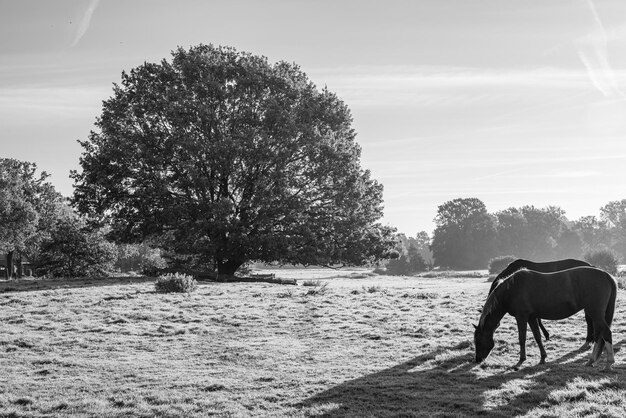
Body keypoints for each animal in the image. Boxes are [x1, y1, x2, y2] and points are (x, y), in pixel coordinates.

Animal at [472, 266, 616, 370]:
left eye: (477, 340)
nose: (478, 359)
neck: (511, 290)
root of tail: (606, 275)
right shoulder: (531, 317)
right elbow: (537, 337)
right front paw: (543, 358)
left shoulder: (521, 317)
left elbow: (522, 338)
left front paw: (521, 360)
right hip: (595, 314)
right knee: (599, 335)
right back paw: (591, 361)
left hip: (595, 313)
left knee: (606, 333)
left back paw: (609, 363)